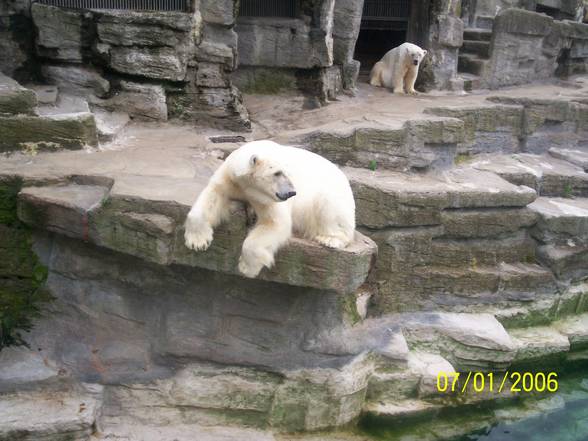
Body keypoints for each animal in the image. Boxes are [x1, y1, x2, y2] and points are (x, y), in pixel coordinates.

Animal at [184, 139, 356, 276]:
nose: (291, 192)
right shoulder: (230, 178)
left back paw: (330, 239)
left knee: (330, 209)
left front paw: (246, 267)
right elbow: (212, 195)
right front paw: (197, 242)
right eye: (277, 173)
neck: (249, 187)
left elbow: (275, 223)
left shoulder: (269, 200)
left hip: (332, 195)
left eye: (290, 173)